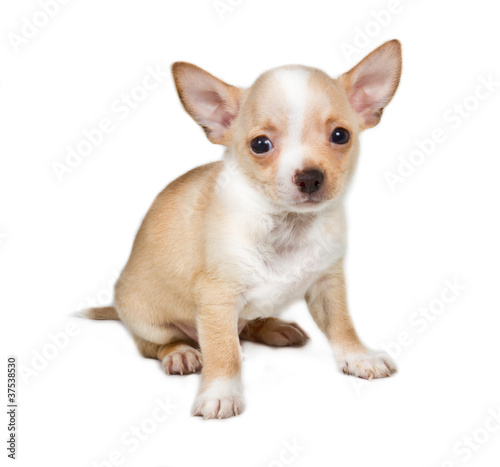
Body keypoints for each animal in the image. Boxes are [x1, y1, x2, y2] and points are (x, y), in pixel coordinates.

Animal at [83, 39, 402, 420]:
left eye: (340, 136)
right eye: (260, 144)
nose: (310, 177)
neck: (285, 225)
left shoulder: (328, 284)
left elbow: (342, 324)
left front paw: (358, 356)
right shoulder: (217, 299)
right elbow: (224, 351)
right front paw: (221, 392)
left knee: (248, 325)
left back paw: (274, 327)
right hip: (148, 321)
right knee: (154, 344)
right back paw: (180, 353)